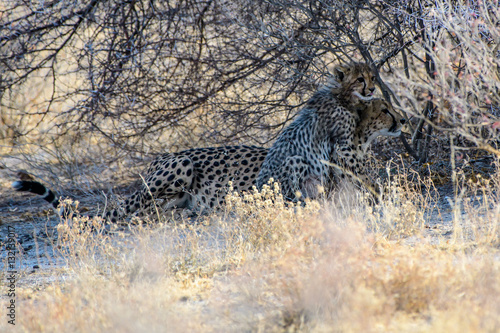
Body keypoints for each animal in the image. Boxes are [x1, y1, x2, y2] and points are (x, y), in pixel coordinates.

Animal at [256, 63, 404, 200]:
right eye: (360, 79)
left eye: (372, 78)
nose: (403, 120)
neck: (343, 98)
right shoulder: (343, 148)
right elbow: (360, 173)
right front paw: (376, 192)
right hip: (295, 160)